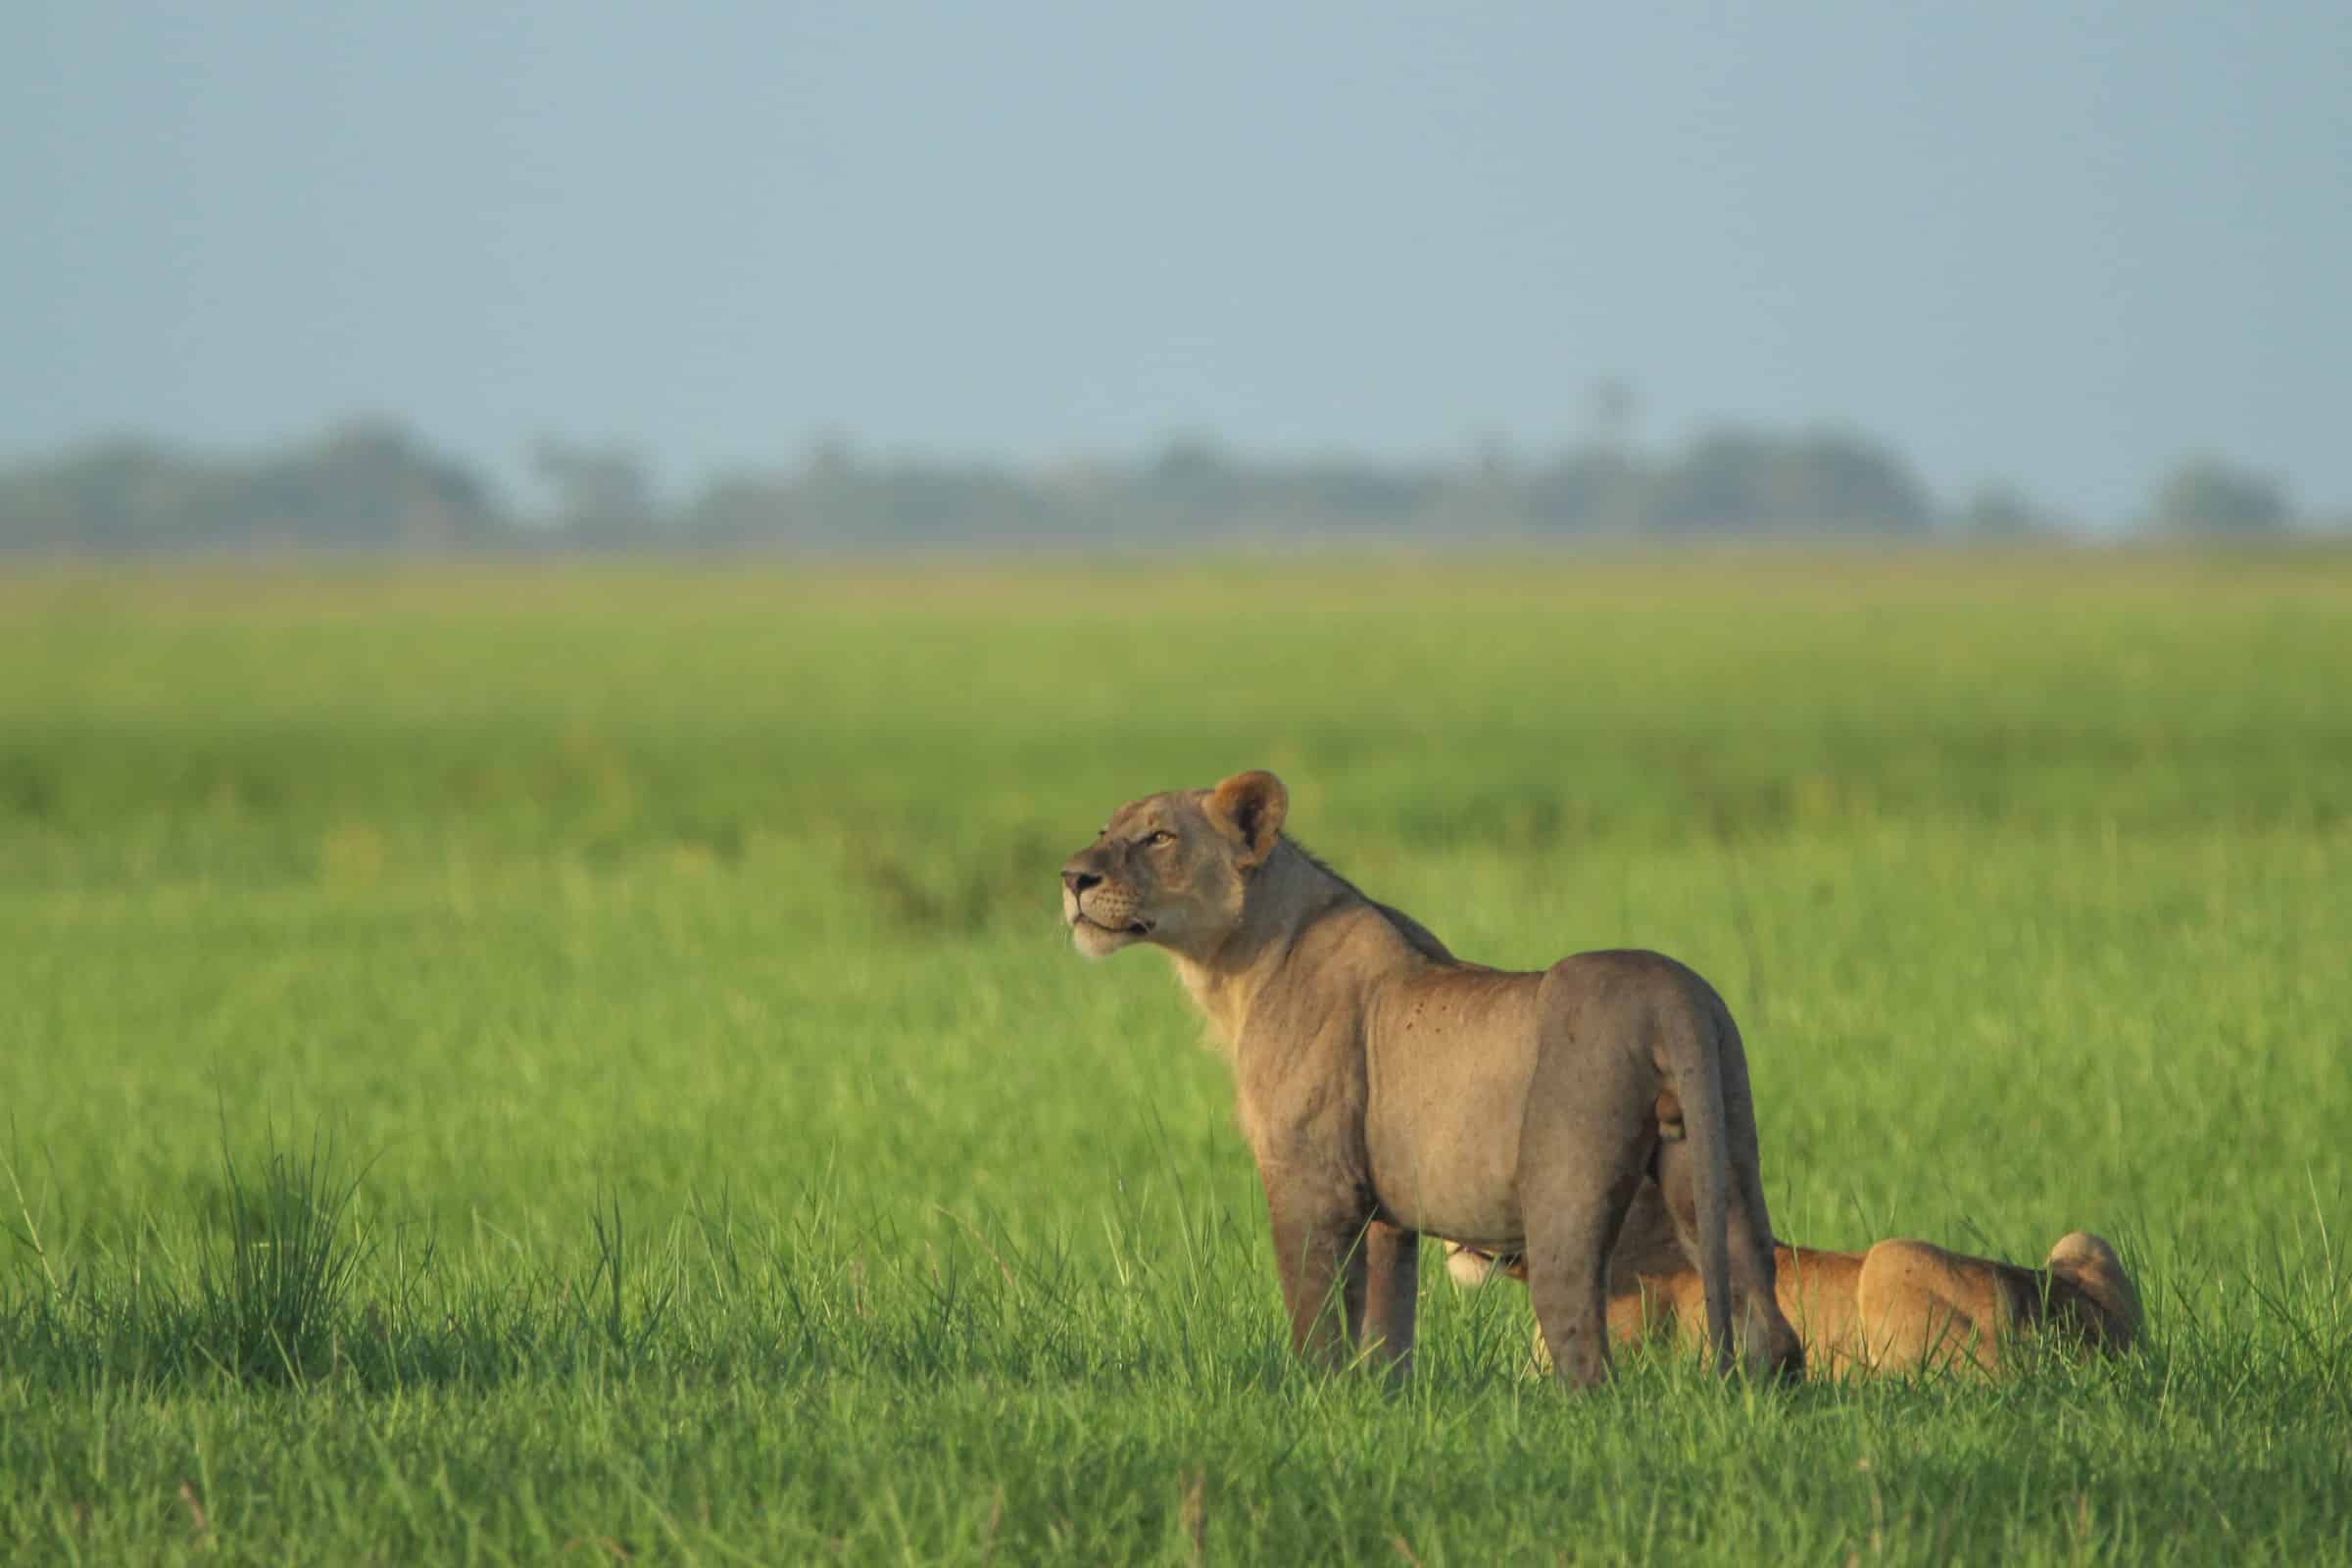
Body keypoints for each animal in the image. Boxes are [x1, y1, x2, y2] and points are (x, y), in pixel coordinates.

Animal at [1060, 769, 1805, 1386]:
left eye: (1158, 836)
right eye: (1104, 832)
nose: (1072, 878)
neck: (1236, 964)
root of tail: (1672, 994)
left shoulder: (1311, 1182)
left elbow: (1316, 1313)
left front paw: (1312, 1399)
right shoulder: (1386, 1209)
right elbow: (1387, 1327)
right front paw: (1379, 1403)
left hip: (1564, 1191)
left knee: (1582, 1346)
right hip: (1721, 1158)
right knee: (1765, 1313)